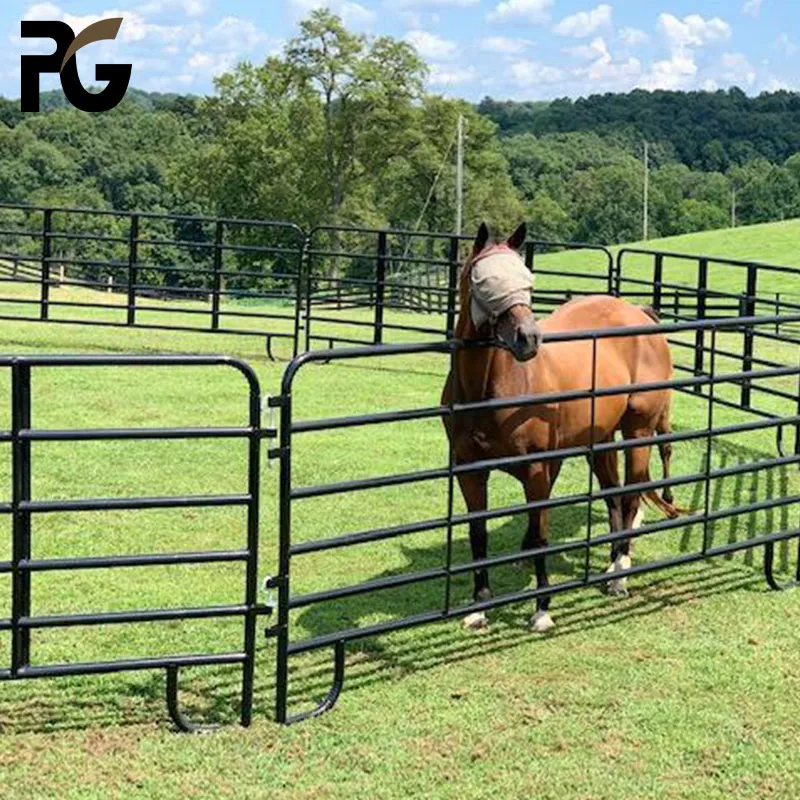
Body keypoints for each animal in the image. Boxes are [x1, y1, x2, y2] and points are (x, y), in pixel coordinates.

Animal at [442, 222, 681, 633]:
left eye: (526, 280)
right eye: (486, 281)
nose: (528, 339)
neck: (493, 389)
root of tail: (637, 312)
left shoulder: (537, 470)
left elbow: (540, 536)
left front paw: (541, 609)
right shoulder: (470, 471)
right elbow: (478, 537)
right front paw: (479, 608)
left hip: (638, 432)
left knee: (631, 496)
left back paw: (619, 573)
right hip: (600, 440)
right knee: (613, 495)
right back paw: (612, 562)